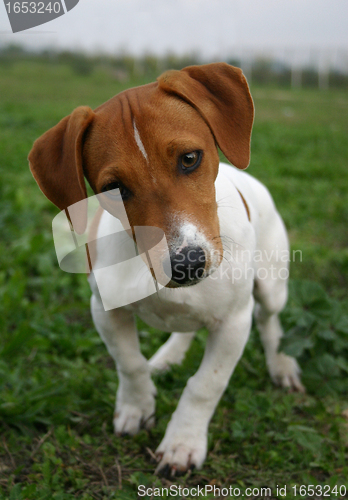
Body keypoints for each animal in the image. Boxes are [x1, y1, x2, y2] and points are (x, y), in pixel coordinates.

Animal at [28, 63, 304, 476]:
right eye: (113, 188)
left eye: (189, 158)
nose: (186, 265)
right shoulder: (105, 312)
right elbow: (129, 363)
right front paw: (136, 407)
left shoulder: (233, 323)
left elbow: (205, 386)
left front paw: (182, 443)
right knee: (185, 331)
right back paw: (168, 357)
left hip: (272, 286)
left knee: (270, 322)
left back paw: (281, 365)